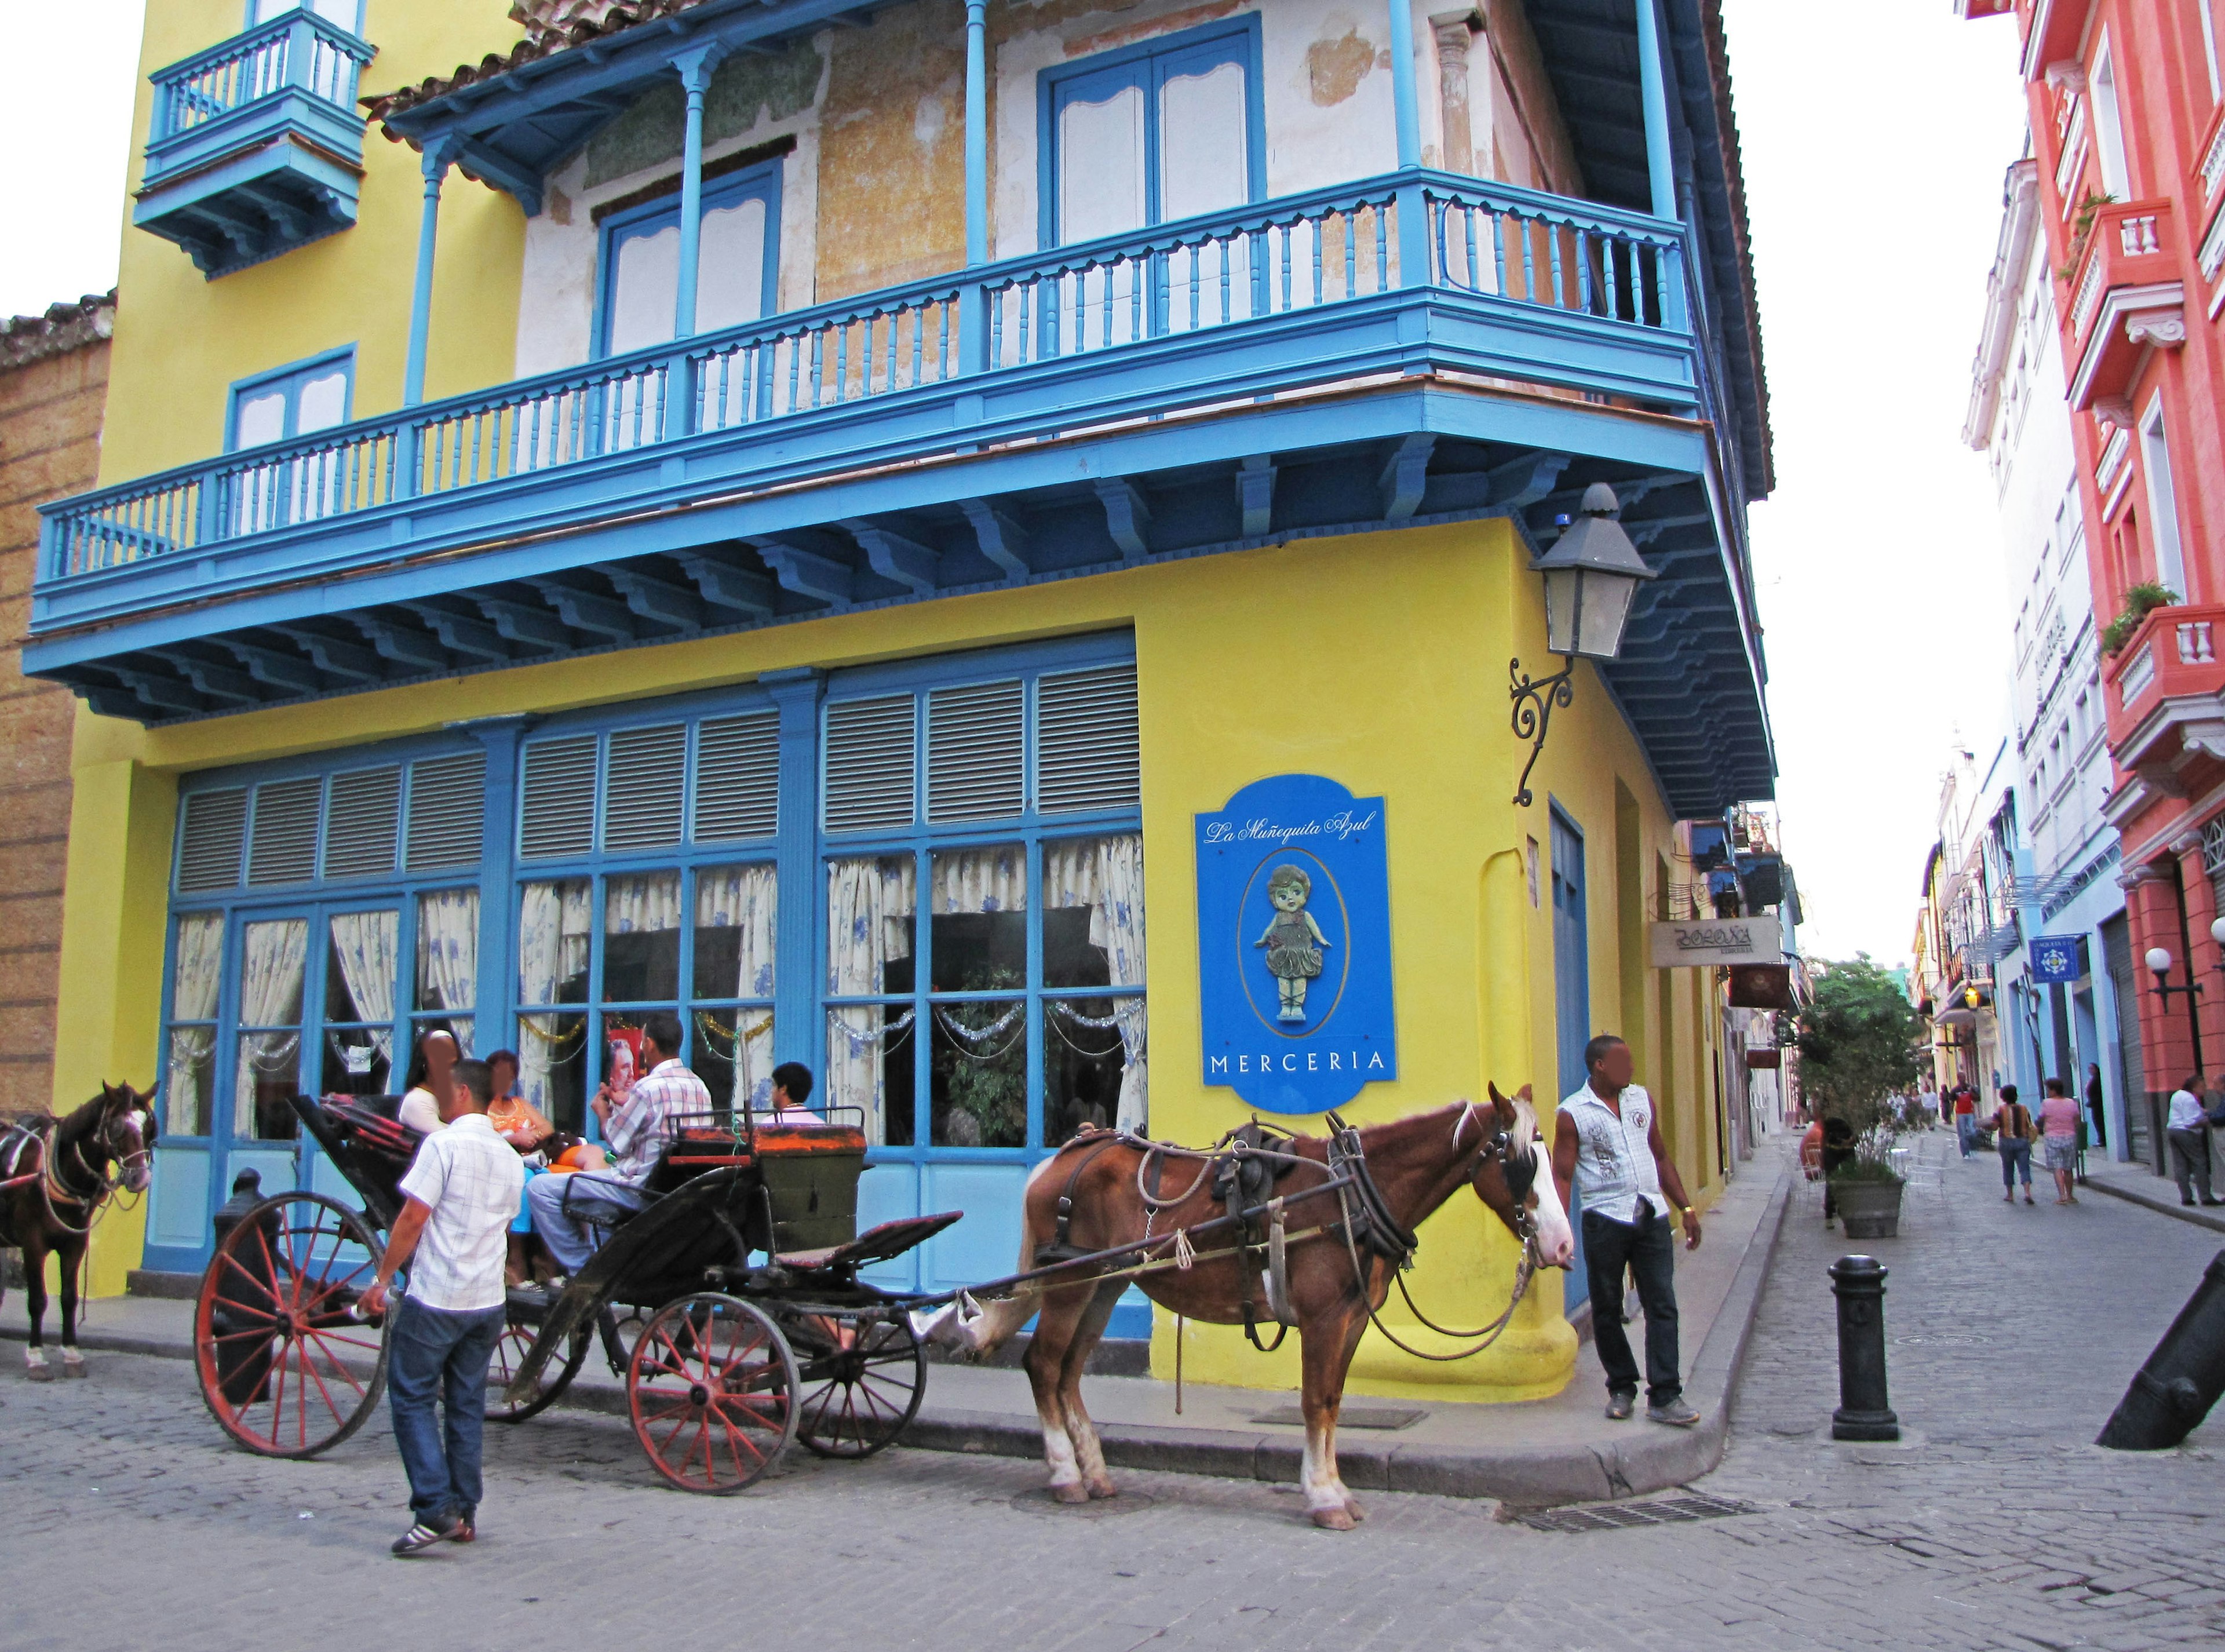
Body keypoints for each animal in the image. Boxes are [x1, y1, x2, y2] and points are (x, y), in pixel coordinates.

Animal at [0, 1086, 156, 1380]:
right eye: (117, 1127)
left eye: (149, 1127)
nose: (141, 1178)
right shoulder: (33, 1243)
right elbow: (37, 1300)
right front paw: (36, 1358)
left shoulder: (75, 1244)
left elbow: (70, 1298)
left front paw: (72, 1354)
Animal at [912, 1095, 1575, 1531]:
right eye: (1519, 1161)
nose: (1564, 1246)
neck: (1350, 1192)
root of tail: (1063, 1156)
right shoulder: (1324, 1318)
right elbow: (1315, 1402)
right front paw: (1323, 1496)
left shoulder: (1353, 1319)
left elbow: (1334, 1402)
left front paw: (1335, 1488)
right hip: (1068, 1284)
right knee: (1045, 1367)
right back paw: (1065, 1474)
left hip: (1103, 1286)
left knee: (1070, 1372)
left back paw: (1095, 1471)